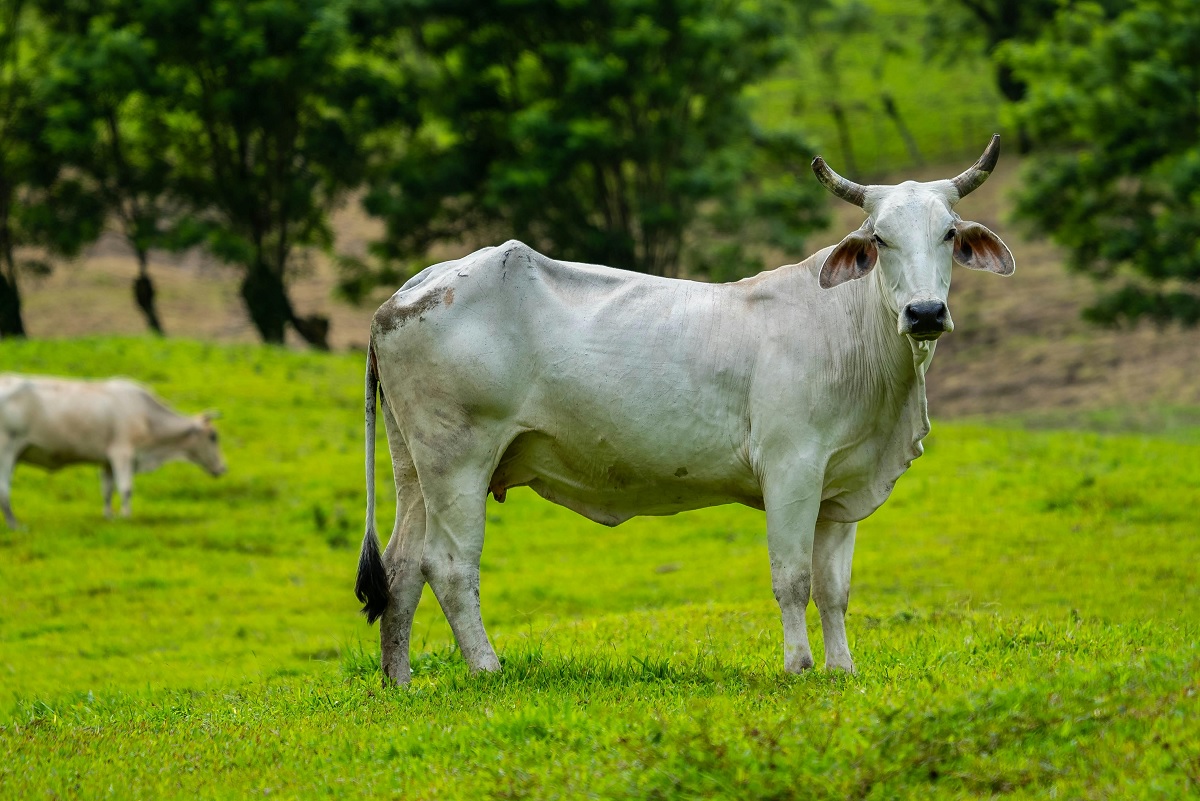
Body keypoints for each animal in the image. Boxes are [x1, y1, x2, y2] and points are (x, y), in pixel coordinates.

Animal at [0, 376, 226, 525]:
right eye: (213, 436)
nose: (224, 468)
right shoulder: (122, 454)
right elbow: (126, 488)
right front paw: (126, 517)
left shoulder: (107, 461)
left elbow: (107, 490)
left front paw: (109, 516)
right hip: (7, 450)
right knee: (4, 488)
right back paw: (15, 525)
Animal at [355, 134, 1012, 681]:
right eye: (879, 238)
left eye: (948, 234)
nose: (924, 313)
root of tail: (411, 289)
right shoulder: (791, 468)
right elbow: (793, 578)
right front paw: (799, 667)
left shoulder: (841, 487)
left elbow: (834, 589)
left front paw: (841, 669)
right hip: (459, 461)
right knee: (449, 565)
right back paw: (488, 669)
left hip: (415, 466)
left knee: (403, 567)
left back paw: (400, 681)